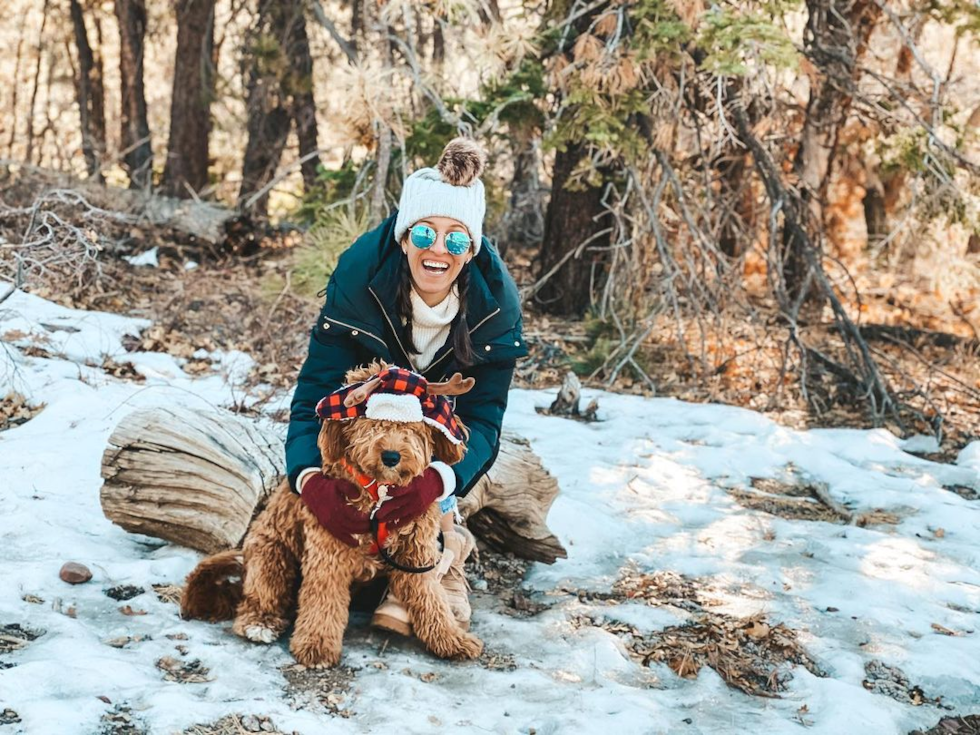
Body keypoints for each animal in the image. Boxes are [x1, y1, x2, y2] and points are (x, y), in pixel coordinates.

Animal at [181, 366, 486, 668]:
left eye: (411, 428)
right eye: (371, 423)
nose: (391, 456)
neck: (379, 494)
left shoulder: (416, 554)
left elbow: (432, 599)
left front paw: (451, 639)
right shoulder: (329, 553)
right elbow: (323, 601)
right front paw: (316, 646)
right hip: (270, 557)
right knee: (260, 597)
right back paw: (260, 623)